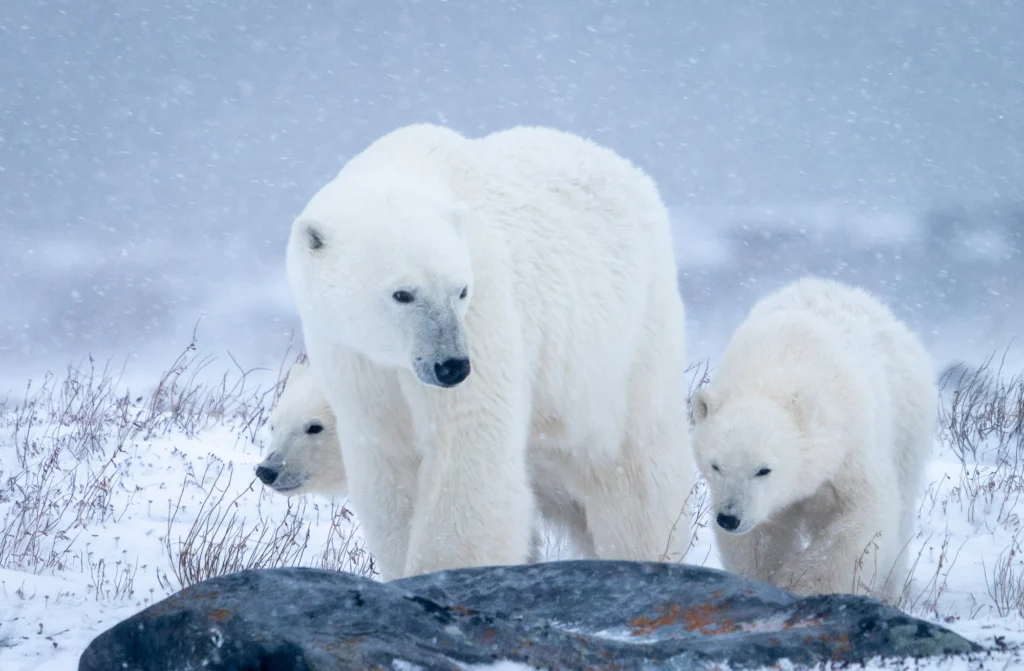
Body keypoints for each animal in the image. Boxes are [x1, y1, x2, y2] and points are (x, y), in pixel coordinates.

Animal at [690, 276, 936, 602]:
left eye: (763, 469)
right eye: (716, 466)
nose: (729, 518)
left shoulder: (850, 447)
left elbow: (861, 521)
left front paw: (802, 585)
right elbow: (759, 538)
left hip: (907, 424)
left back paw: (889, 591)